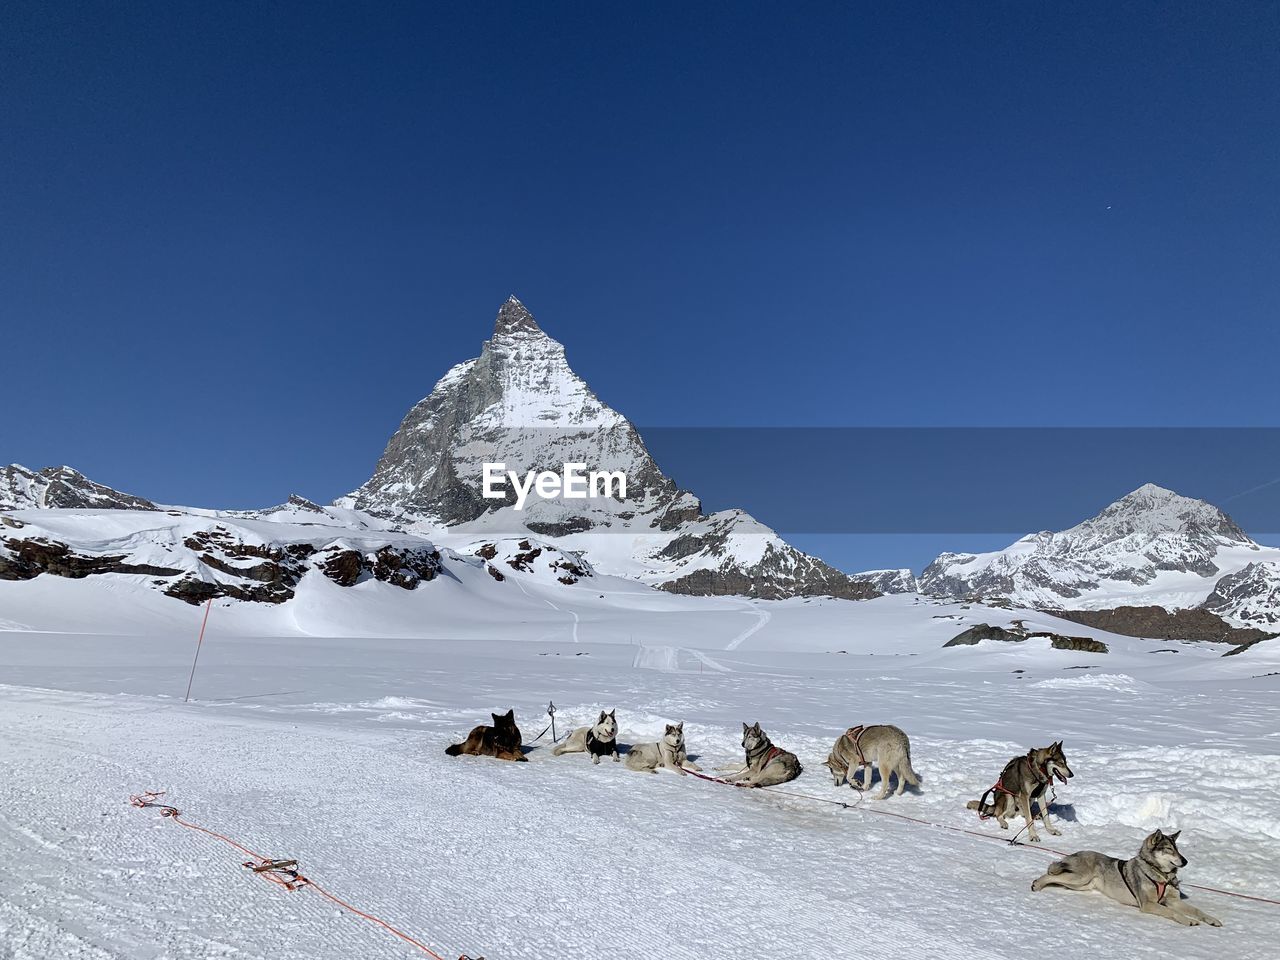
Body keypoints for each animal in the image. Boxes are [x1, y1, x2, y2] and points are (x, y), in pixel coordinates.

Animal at [1029, 829, 1218, 926]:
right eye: (1169, 849)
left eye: (1177, 849)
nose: (1185, 861)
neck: (1160, 874)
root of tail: (1076, 853)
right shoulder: (1148, 904)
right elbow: (1173, 912)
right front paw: (1187, 920)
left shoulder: (1173, 900)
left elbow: (1197, 910)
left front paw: (1212, 919)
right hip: (1079, 878)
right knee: (1049, 873)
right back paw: (1037, 884)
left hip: (1080, 884)